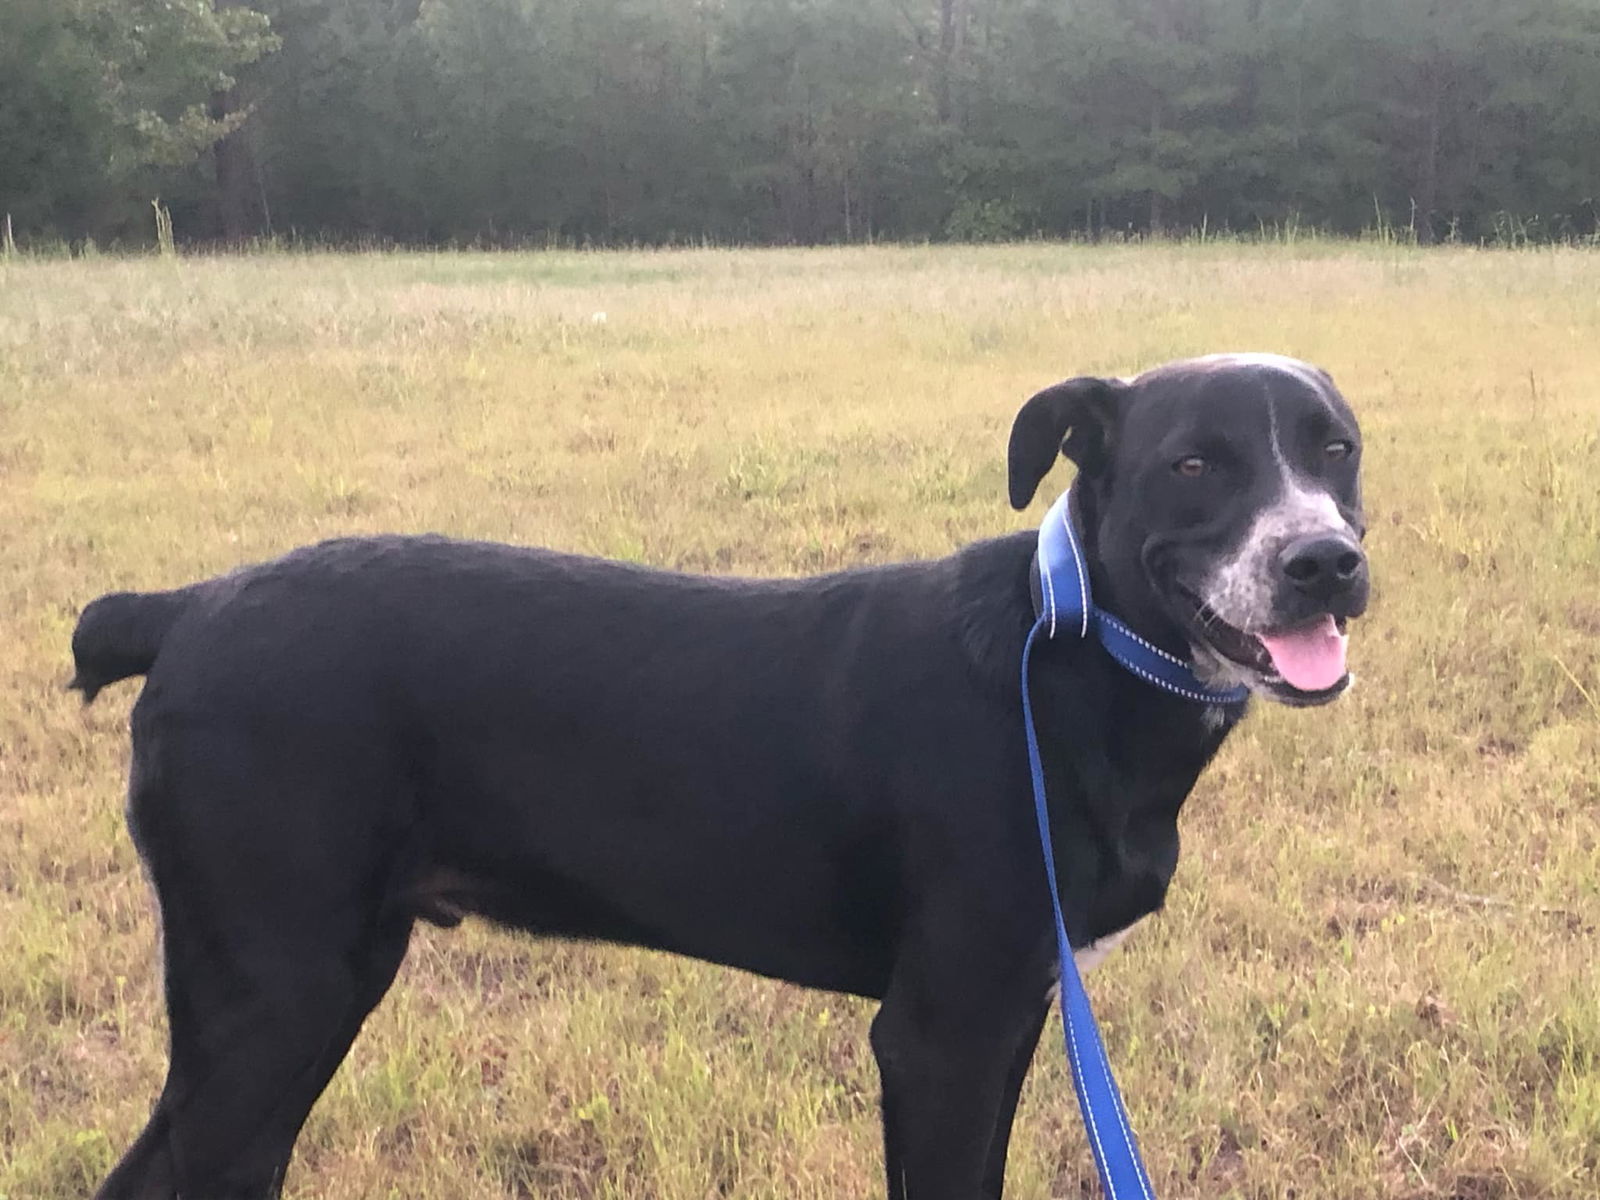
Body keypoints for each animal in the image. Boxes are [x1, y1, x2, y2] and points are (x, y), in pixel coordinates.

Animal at [75, 355, 1369, 1200]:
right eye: (1192, 462)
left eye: (1337, 451)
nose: (1324, 563)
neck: (1068, 660)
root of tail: (183, 610)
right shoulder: (941, 1031)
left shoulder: (1013, 1015)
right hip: (275, 991)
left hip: (310, 989)